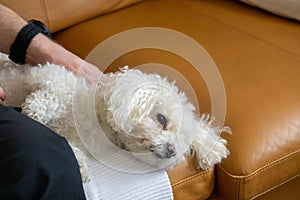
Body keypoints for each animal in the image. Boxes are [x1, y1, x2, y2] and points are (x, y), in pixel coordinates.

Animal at [0, 58, 230, 181]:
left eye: (182, 140)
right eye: (161, 118)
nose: (173, 150)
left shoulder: (70, 138)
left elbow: (70, 148)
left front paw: (79, 166)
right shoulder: (48, 74)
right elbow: (55, 91)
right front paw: (35, 108)